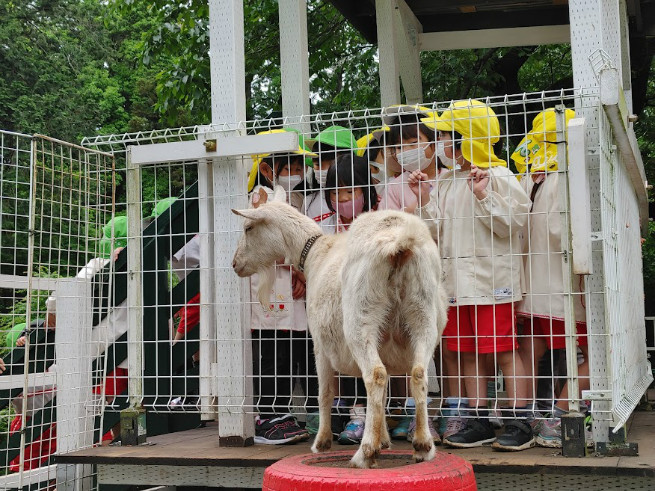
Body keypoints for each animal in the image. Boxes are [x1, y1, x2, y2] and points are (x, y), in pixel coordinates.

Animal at [233, 201, 448, 468]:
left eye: (248, 227)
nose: (235, 264)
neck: (316, 252)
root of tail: (400, 242)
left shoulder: (318, 342)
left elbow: (325, 392)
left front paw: (322, 442)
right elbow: (381, 396)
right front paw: (384, 439)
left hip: (361, 314)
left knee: (375, 375)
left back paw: (365, 454)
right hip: (422, 312)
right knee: (417, 373)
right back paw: (422, 446)